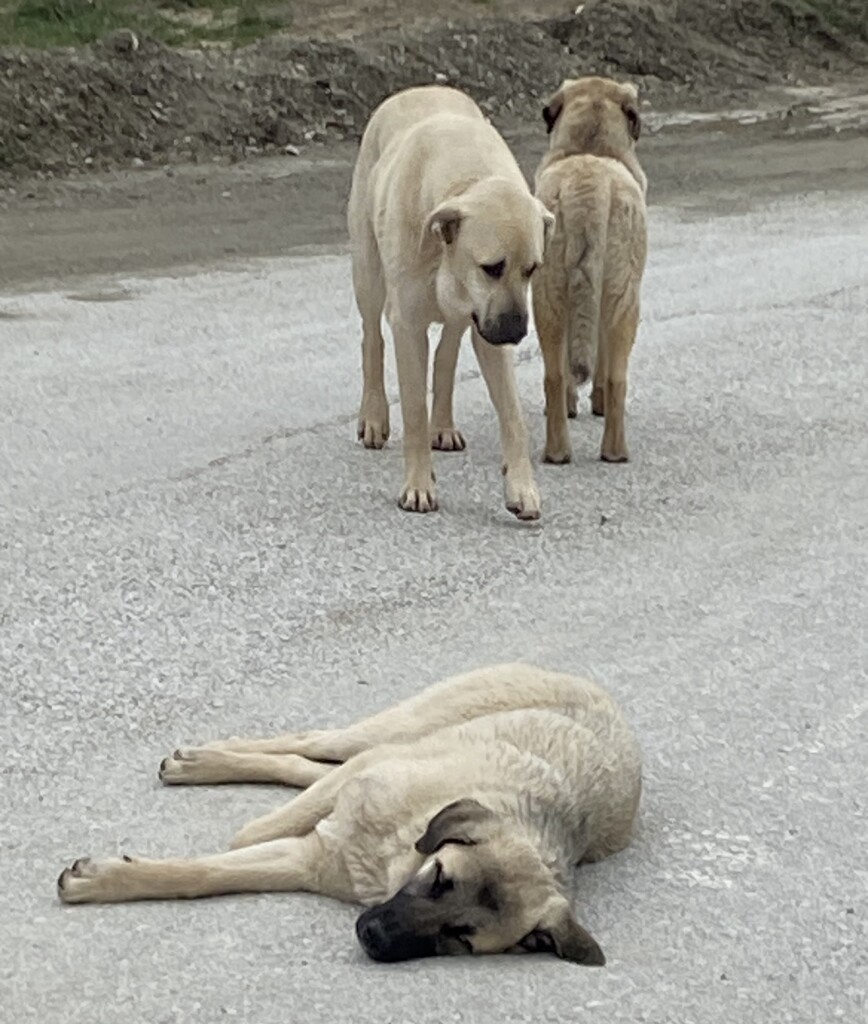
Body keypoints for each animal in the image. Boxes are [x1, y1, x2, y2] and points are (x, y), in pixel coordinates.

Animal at [58, 663, 642, 967]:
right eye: (438, 879)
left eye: (460, 938)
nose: (373, 937)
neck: (393, 854)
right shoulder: (356, 790)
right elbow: (241, 844)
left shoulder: (307, 860)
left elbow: (206, 875)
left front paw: (106, 879)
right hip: (395, 730)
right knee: (311, 743)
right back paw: (206, 759)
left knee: (305, 766)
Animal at [347, 85, 554, 519]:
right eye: (492, 267)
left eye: (532, 269)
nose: (515, 333)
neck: (465, 179)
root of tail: (417, 89)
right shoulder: (408, 326)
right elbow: (413, 410)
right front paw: (418, 486)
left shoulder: (488, 327)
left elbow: (512, 417)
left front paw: (521, 488)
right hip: (368, 272)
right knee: (371, 337)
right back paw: (373, 416)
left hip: (466, 320)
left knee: (447, 354)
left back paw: (442, 424)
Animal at [532, 76, 648, 465]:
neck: (590, 148)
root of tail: (585, 191)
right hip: (624, 298)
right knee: (617, 377)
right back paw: (615, 451)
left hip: (547, 293)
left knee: (553, 375)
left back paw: (556, 451)